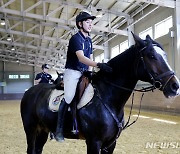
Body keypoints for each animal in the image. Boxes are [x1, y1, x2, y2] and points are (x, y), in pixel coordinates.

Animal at [20, 33, 179, 153]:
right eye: (151, 56)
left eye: (165, 54)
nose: (175, 86)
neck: (108, 98)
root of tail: (29, 91)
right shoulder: (94, 142)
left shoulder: (110, 144)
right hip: (31, 129)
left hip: (43, 130)